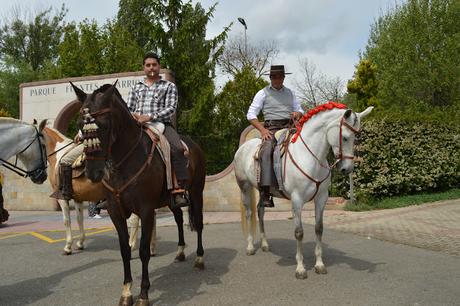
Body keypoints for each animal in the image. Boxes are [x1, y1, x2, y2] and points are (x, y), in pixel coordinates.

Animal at [72, 82, 205, 304]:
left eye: (104, 126)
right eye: (81, 126)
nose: (93, 172)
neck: (124, 161)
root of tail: (193, 145)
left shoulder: (146, 209)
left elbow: (143, 250)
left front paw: (143, 293)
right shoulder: (116, 212)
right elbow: (125, 249)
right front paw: (126, 292)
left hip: (196, 192)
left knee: (200, 224)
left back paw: (200, 259)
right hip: (170, 200)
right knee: (178, 218)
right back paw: (180, 252)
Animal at [234, 103, 374, 280]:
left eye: (357, 137)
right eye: (345, 137)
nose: (347, 168)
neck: (310, 157)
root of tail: (243, 148)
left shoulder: (321, 198)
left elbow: (319, 228)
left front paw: (319, 265)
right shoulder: (297, 200)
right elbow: (299, 233)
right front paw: (300, 268)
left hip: (262, 191)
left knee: (260, 211)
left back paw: (265, 244)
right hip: (245, 187)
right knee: (249, 213)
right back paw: (251, 247)